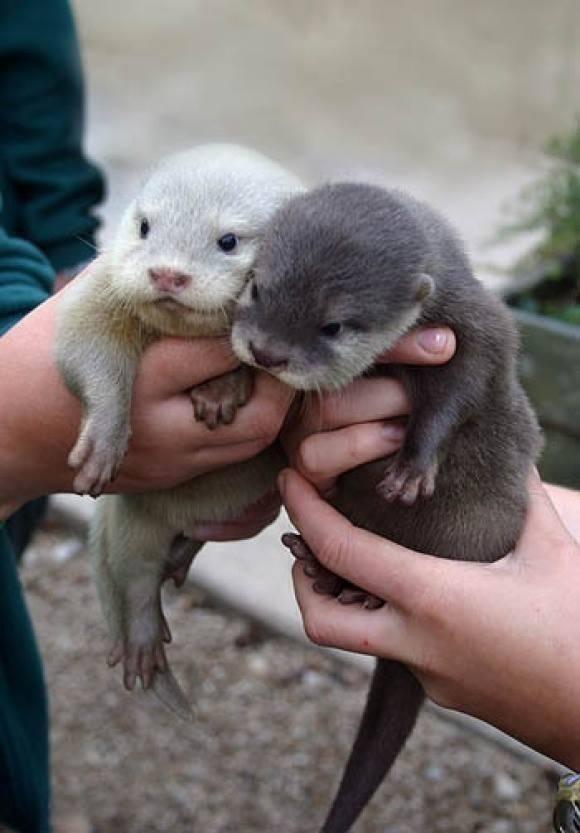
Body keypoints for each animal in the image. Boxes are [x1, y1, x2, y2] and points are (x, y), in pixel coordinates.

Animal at [55, 144, 302, 718]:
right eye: (144, 225)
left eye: (229, 240)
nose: (168, 274)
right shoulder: (99, 291)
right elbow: (83, 345)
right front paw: (104, 439)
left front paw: (222, 389)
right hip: (134, 517)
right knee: (136, 579)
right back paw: (144, 638)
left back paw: (180, 558)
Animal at [231, 182, 542, 833]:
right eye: (257, 288)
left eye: (334, 325)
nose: (267, 352)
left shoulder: (476, 323)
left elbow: (463, 387)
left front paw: (413, 465)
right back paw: (324, 570)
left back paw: (353, 587)